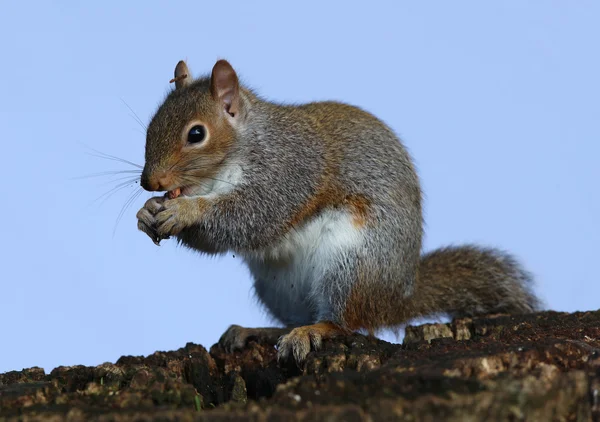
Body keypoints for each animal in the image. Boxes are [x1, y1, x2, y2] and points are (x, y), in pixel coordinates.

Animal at [136, 58, 540, 362]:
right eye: (151, 125)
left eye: (196, 134)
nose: (149, 182)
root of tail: (395, 298)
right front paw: (146, 213)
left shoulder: (289, 172)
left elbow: (252, 216)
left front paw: (185, 213)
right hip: (276, 286)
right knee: (299, 318)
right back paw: (259, 331)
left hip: (350, 265)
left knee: (344, 323)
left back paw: (313, 331)